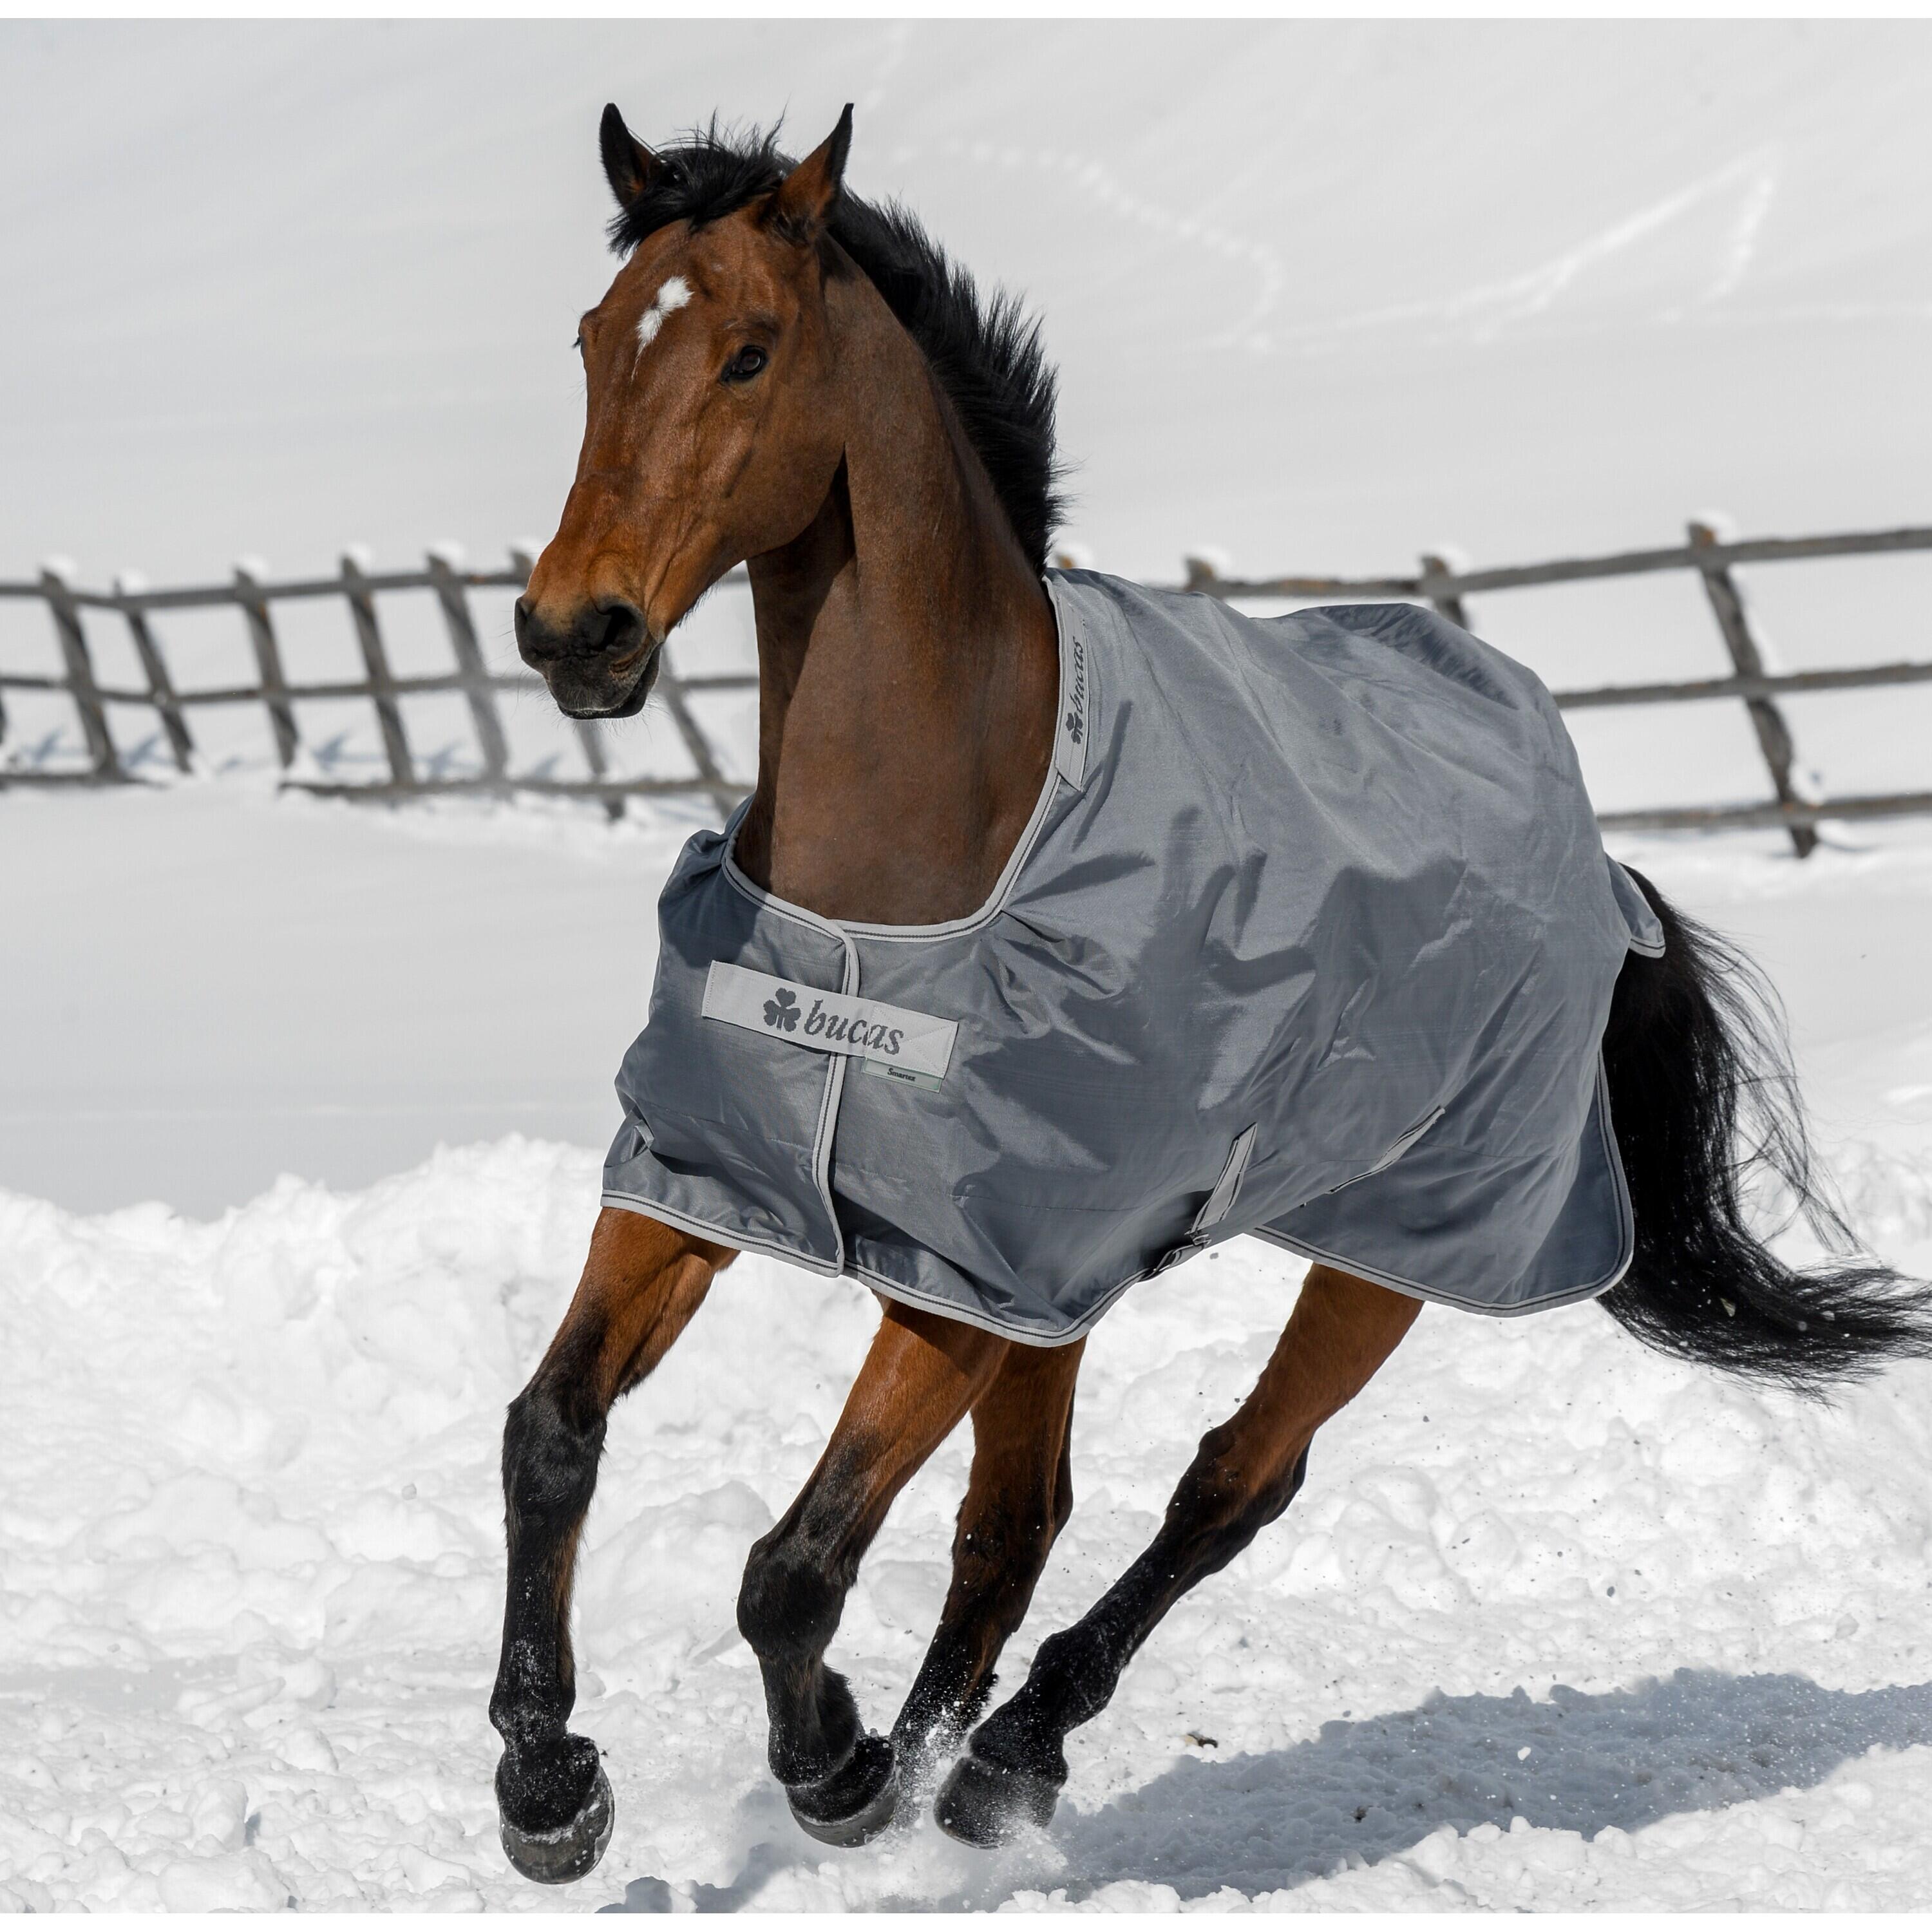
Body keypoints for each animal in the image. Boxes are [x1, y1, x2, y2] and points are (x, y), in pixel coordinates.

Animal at [488, 104, 1932, 1883]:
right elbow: (551, 1431)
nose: (576, 630)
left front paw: (830, 1772)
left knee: (1230, 1485)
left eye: (749, 351)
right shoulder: (720, 1186)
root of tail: (1605, 872)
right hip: (1075, 1285)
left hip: (1389, 1251)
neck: (912, 879)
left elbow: (796, 1563)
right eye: (593, 343)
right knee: (1015, 1522)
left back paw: (995, 1766)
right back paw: (942, 1766)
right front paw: (548, 1785)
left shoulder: (960, 1273)